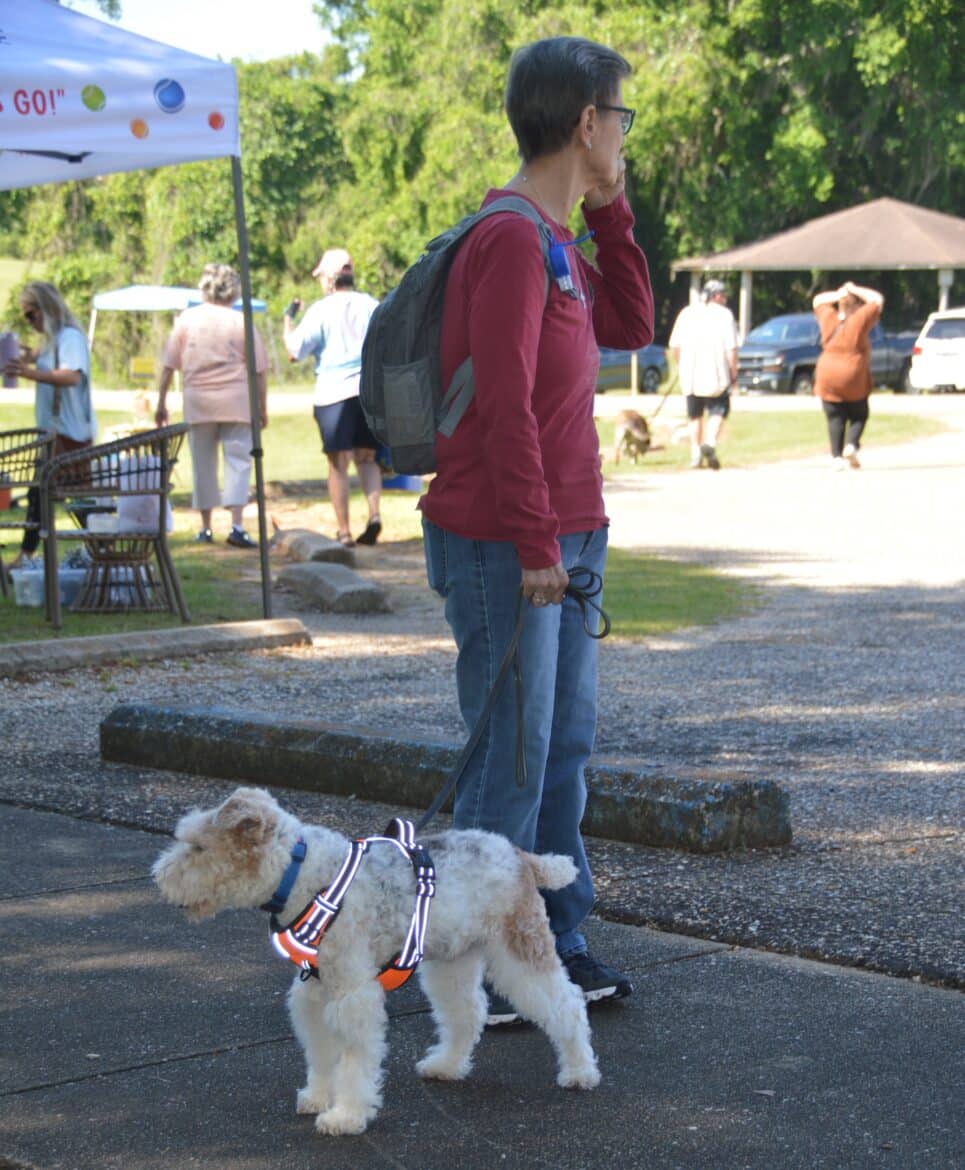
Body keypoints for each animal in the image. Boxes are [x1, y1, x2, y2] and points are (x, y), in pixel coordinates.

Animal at [153, 787, 600, 1136]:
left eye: (198, 847)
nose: (157, 877)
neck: (304, 875)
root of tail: (521, 855)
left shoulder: (353, 994)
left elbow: (353, 1060)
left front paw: (346, 1116)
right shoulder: (315, 991)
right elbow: (321, 1052)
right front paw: (319, 1097)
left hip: (519, 953)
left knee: (567, 1005)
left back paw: (580, 1072)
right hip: (451, 961)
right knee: (467, 1013)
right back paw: (446, 1064)